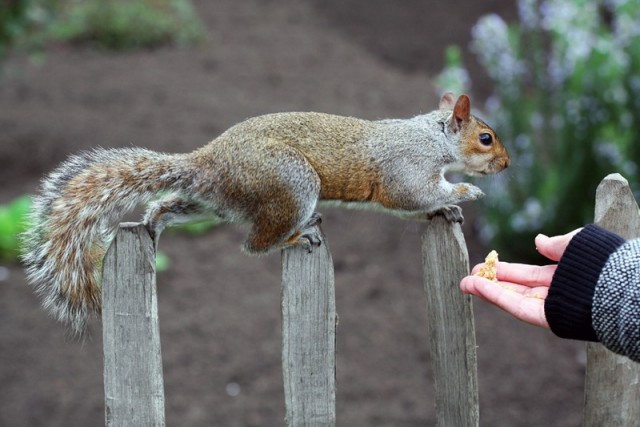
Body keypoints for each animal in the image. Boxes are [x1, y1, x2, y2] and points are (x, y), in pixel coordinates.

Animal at [21, 93, 510, 334]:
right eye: (486, 138)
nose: (506, 164)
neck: (433, 137)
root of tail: (208, 162)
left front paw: (450, 203)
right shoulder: (405, 171)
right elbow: (413, 196)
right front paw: (463, 191)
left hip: (211, 202)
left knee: (169, 205)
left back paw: (154, 223)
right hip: (292, 184)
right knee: (253, 244)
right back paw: (297, 235)